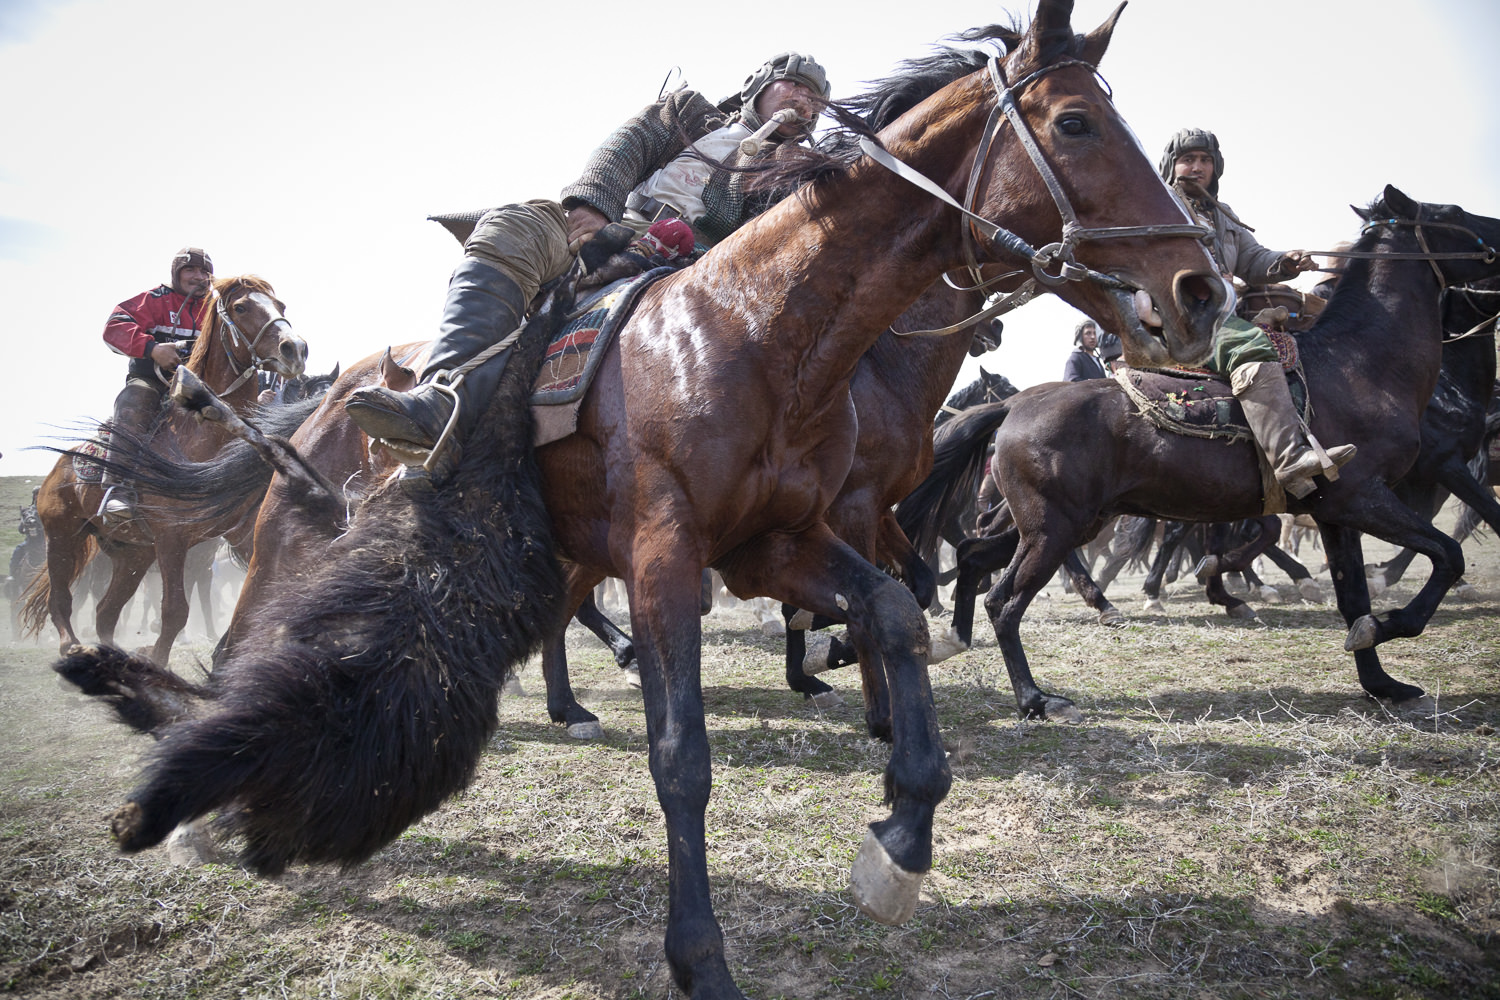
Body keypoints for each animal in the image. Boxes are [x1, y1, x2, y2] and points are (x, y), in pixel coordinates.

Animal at [26, 274, 307, 665]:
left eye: (280, 306)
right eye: (241, 307)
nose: (294, 349)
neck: (202, 436)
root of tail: (62, 466)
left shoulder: (242, 533)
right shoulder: (172, 538)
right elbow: (175, 612)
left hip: (133, 554)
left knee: (105, 612)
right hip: (62, 536)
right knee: (61, 601)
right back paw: (72, 647)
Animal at [73, 5, 1230, 995]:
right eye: (1075, 122)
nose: (1199, 288)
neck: (756, 327)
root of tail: (327, 387)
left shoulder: (780, 541)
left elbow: (895, 610)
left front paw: (898, 839)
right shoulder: (670, 554)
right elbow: (683, 757)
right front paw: (701, 959)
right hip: (289, 539)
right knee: (242, 644)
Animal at [888, 183, 1500, 722]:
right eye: (1454, 213)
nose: (1498, 240)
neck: (1360, 366)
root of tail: (1016, 405)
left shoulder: (1334, 513)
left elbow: (1354, 596)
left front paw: (1381, 683)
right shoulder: (1364, 496)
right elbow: (1447, 553)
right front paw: (1388, 625)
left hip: (1050, 523)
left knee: (974, 557)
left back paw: (955, 638)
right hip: (1054, 528)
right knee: (1006, 601)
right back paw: (1036, 697)